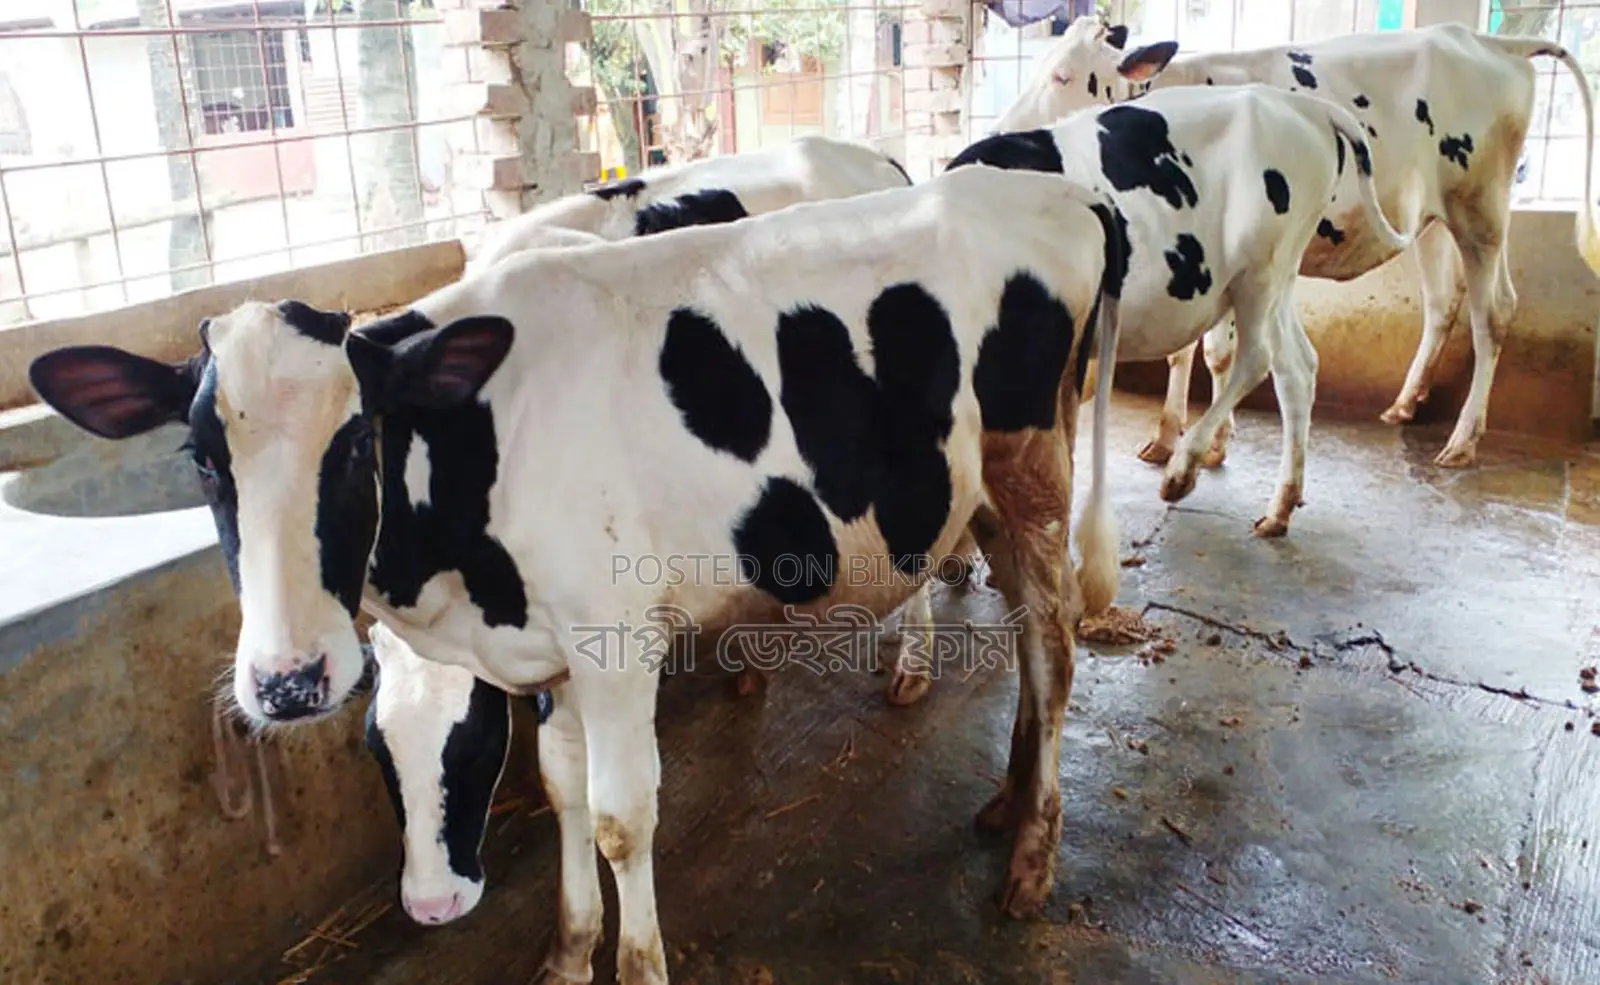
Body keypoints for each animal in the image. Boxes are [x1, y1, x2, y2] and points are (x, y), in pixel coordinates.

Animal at [27, 161, 1127, 983]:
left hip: (1034, 470)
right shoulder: (546, 651)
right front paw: (567, 949)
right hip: (987, 491)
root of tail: (1060, 190)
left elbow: (619, 816)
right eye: (201, 457)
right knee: (1029, 642)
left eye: (357, 443)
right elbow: (559, 792)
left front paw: (636, 964)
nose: (288, 681)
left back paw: (1032, 857)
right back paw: (1007, 801)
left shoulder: (615, 642)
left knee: (1056, 646)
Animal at [880, 82, 1413, 708]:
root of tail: (1299, 103)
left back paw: (1183, 468)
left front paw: (919, 650)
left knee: (1256, 358)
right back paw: (1280, 506)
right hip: (1274, 279)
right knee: (1297, 368)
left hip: (1261, 266)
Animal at [995, 14, 1600, 469]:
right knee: (1442, 302)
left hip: (1482, 210)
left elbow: (1215, 352)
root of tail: (1489, 41)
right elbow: (1184, 352)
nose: (1002, 135)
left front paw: (1210, 443)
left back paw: (1463, 440)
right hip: (1431, 218)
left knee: (1493, 311)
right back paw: (1405, 405)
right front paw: (1170, 436)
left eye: (1062, 76)